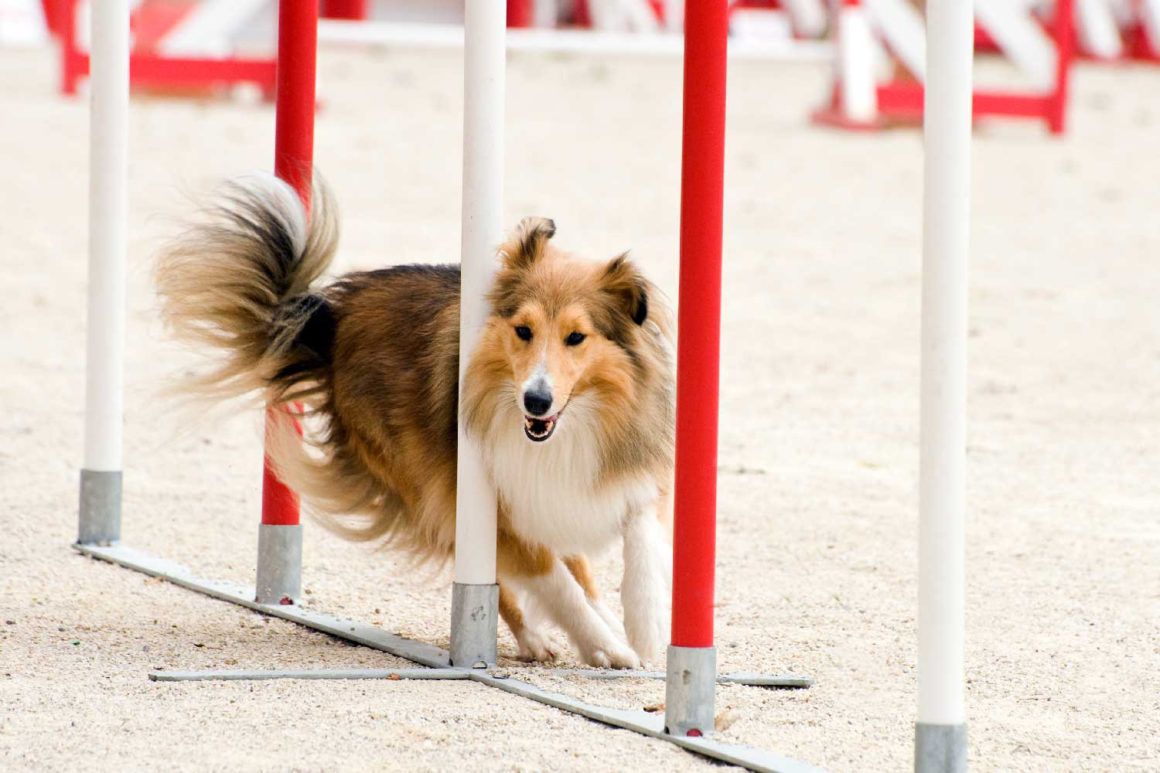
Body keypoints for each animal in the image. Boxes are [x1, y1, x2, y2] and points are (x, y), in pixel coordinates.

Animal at [157, 172, 677, 663]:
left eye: (576, 337)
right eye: (523, 330)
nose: (536, 402)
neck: (568, 428)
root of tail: (330, 321)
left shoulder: (604, 478)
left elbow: (640, 533)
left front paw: (644, 622)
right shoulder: (489, 504)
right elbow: (554, 581)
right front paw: (605, 646)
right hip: (426, 481)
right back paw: (537, 638)